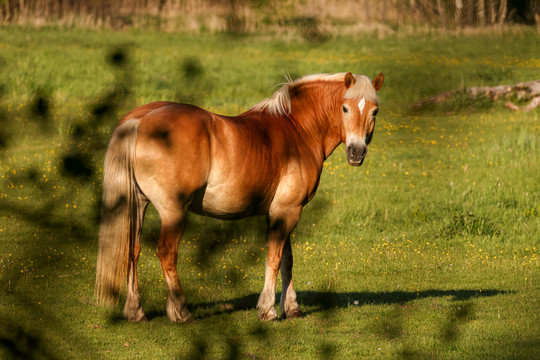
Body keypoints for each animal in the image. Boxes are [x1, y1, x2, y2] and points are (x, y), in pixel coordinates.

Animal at [97, 71, 384, 322]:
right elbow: (275, 258)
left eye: (374, 111)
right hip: (173, 212)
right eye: (345, 108)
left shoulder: (282, 211)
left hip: (138, 205)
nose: (357, 152)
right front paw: (268, 309)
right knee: (167, 253)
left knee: (133, 251)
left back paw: (136, 312)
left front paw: (291, 308)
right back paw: (181, 311)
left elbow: (287, 260)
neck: (297, 128)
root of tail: (139, 120)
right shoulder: (288, 210)